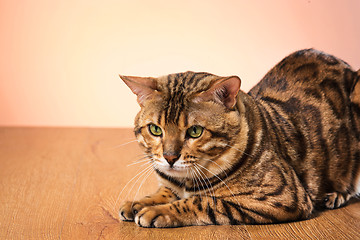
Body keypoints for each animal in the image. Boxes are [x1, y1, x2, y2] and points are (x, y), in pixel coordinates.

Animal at [119, 48, 360, 227]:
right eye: (155, 129)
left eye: (195, 131)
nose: (170, 157)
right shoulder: (169, 183)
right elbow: (164, 191)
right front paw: (138, 203)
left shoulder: (282, 197)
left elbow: (202, 201)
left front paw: (157, 211)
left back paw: (336, 194)